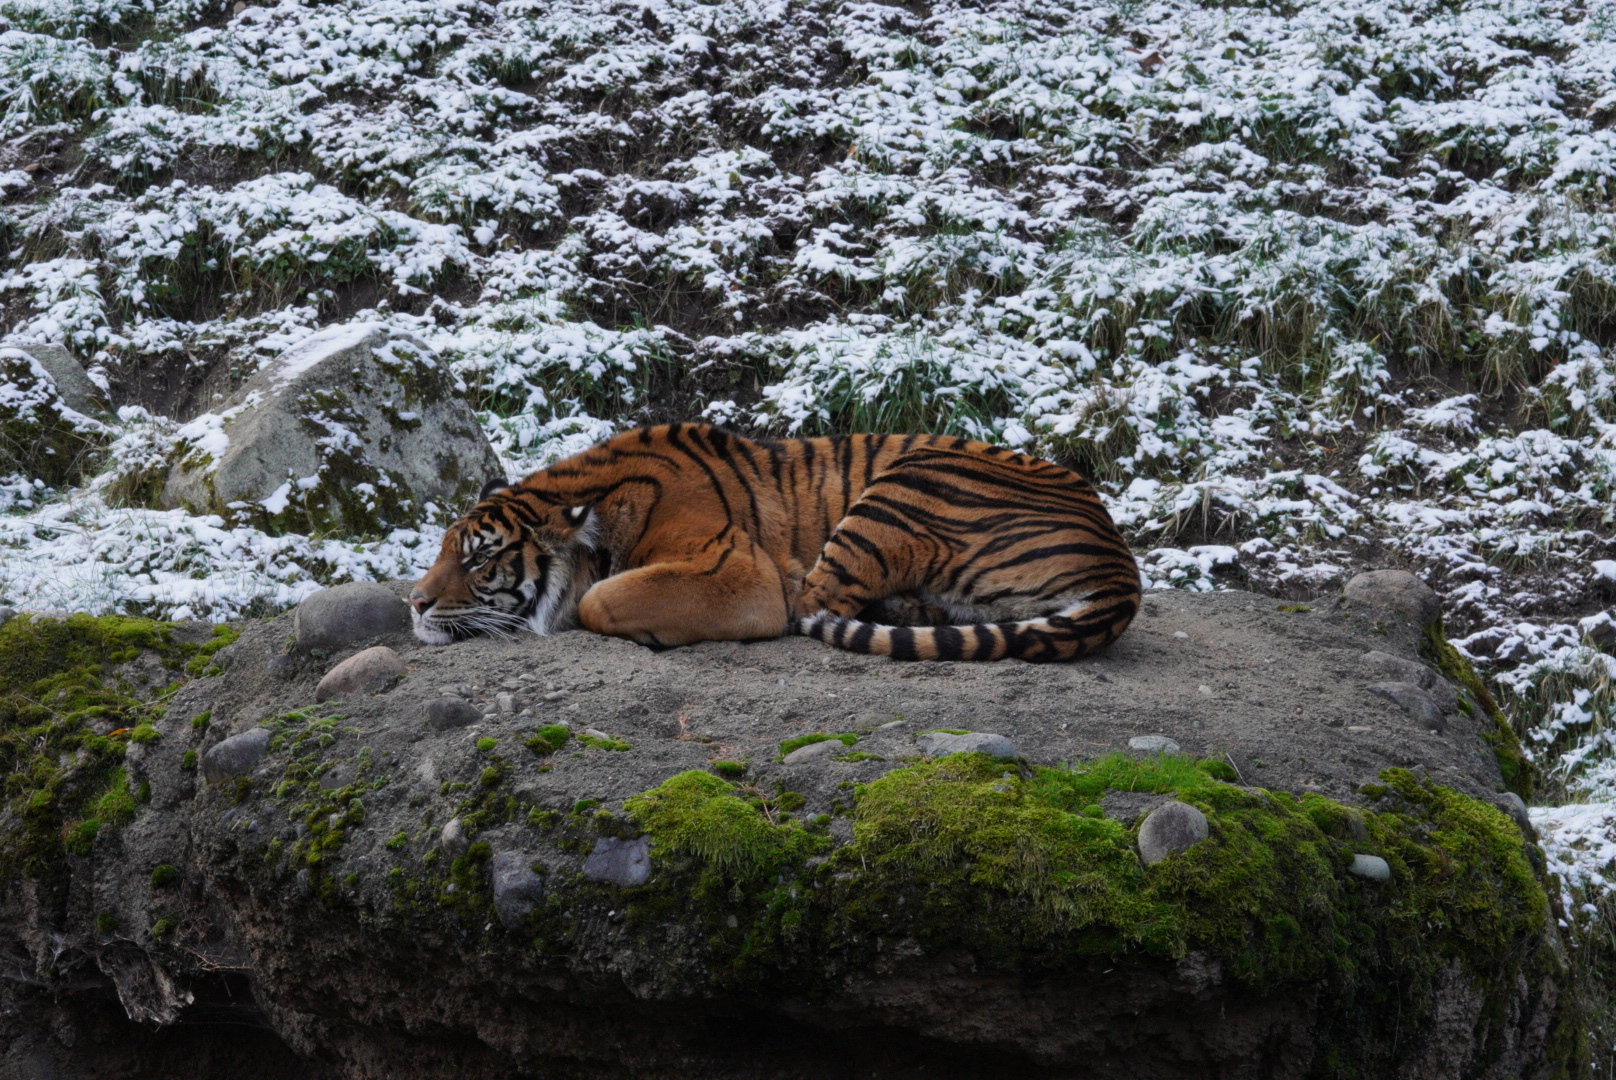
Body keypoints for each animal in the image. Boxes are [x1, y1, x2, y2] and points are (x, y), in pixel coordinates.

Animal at [410, 423, 1141, 662]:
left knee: (813, 602)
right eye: (443, 550)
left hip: (910, 481)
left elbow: (600, 601)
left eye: (480, 556)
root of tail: (1120, 558)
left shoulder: (735, 571)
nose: (414, 604)